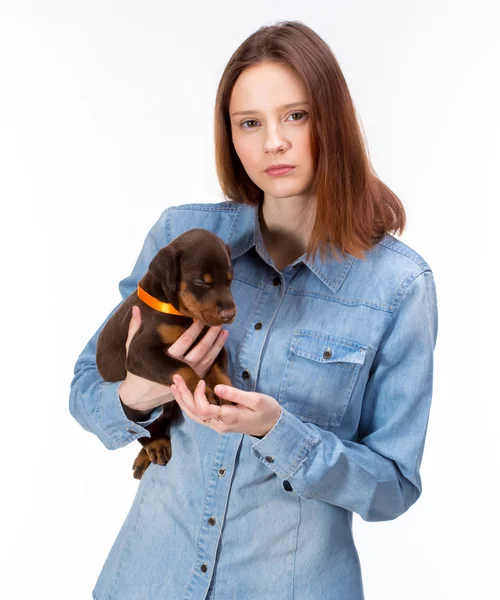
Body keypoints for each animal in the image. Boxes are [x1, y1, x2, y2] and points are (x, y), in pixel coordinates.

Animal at [97, 227, 238, 480]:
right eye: (201, 282)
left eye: (229, 280)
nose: (230, 314)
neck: (182, 316)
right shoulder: (140, 353)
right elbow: (182, 368)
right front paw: (203, 392)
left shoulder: (216, 344)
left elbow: (219, 370)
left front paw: (227, 392)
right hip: (131, 408)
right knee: (145, 431)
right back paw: (157, 446)